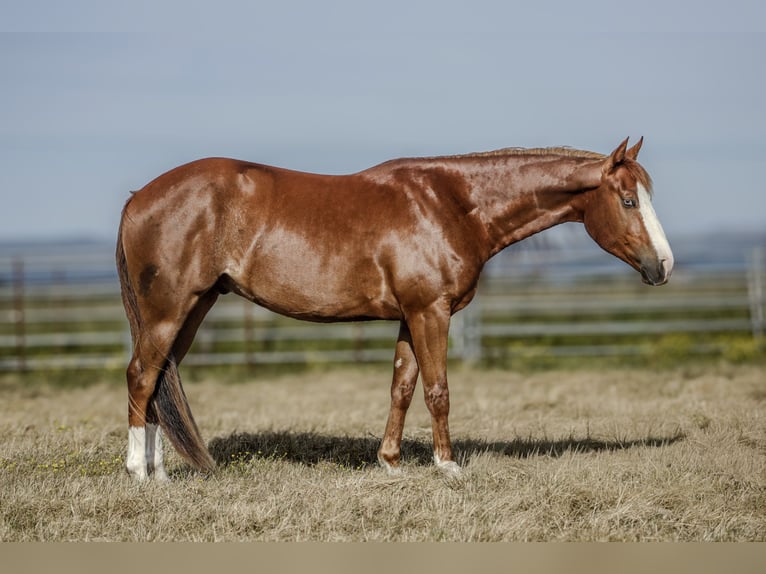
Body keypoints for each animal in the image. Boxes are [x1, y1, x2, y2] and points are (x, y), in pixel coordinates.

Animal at [116, 137, 673, 480]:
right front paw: (447, 467)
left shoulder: (410, 315)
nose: (663, 265)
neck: (450, 203)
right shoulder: (431, 311)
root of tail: (138, 197)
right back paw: (139, 473)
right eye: (628, 200)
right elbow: (438, 390)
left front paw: (390, 462)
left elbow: (402, 388)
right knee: (141, 375)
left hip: (194, 307)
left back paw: (162, 474)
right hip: (169, 309)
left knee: (160, 379)